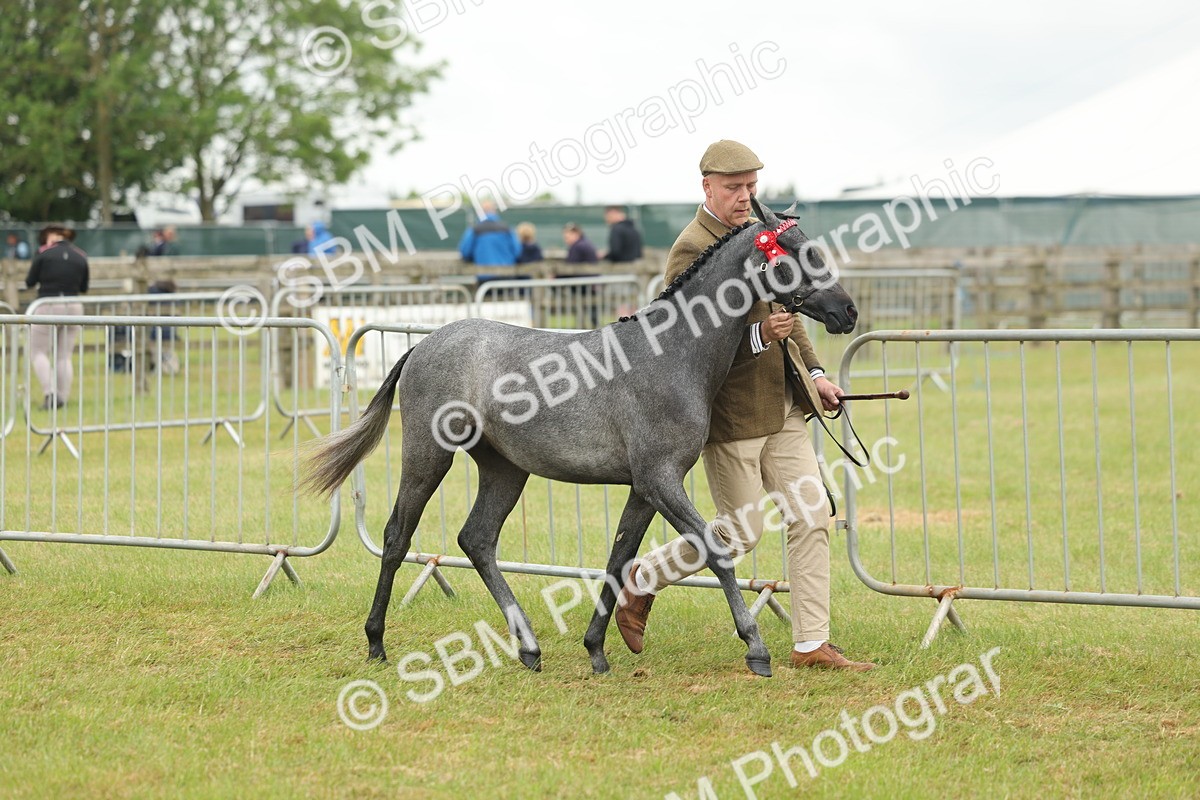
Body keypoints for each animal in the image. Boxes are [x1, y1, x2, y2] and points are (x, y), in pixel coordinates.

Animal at [302, 198, 857, 678]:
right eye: (799, 253)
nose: (847, 312)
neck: (672, 354)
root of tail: (422, 344)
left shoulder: (645, 489)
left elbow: (619, 558)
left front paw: (596, 649)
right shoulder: (660, 480)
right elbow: (715, 552)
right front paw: (756, 649)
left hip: (505, 469)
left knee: (476, 539)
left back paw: (528, 647)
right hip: (428, 455)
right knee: (398, 535)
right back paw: (376, 642)